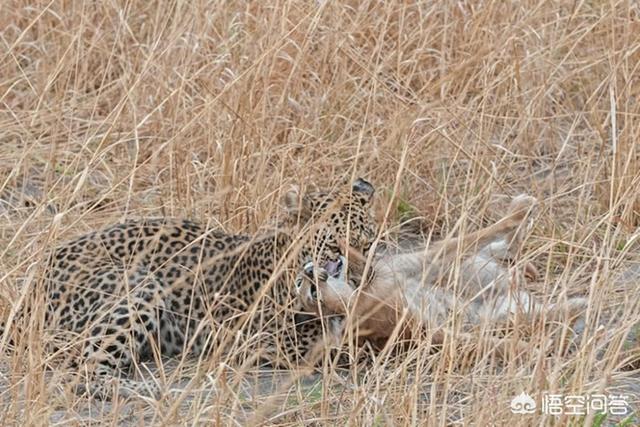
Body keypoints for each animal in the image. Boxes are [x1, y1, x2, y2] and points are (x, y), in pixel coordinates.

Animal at [0, 177, 378, 402]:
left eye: (369, 242)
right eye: (336, 246)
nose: (365, 278)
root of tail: (28, 295)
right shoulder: (272, 340)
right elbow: (347, 346)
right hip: (140, 285)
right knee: (86, 373)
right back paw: (147, 390)